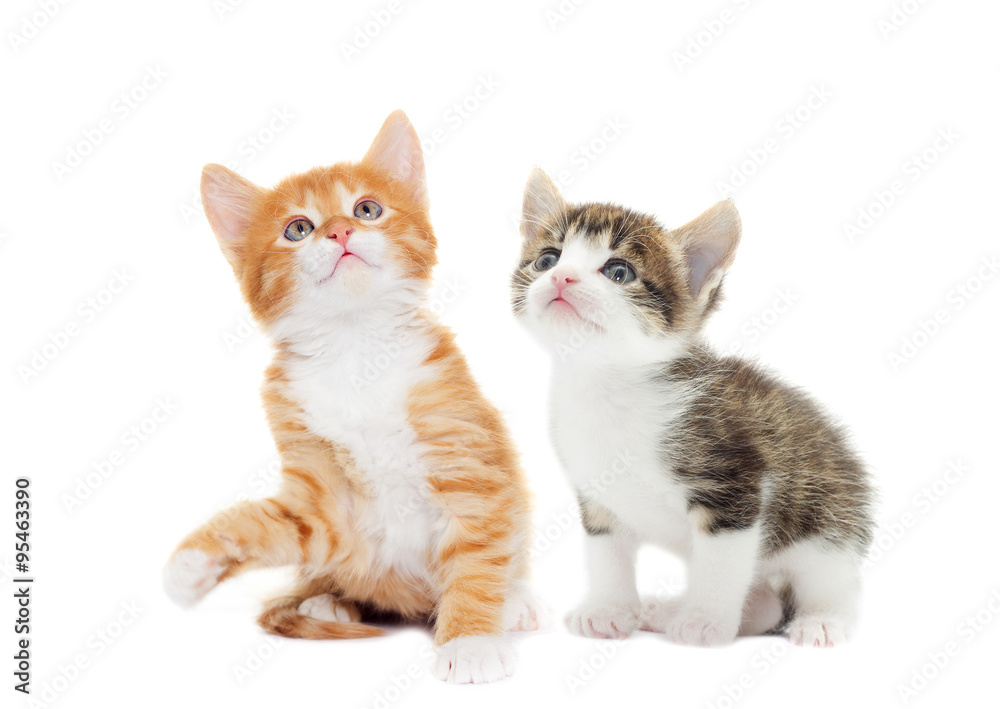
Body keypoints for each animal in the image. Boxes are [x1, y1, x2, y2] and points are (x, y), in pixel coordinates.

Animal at [162, 112, 548, 684]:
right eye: (298, 229)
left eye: (367, 209)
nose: (341, 231)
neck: (356, 352)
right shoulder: (323, 501)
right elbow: (268, 522)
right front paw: (195, 562)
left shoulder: (469, 466)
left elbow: (478, 556)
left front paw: (472, 639)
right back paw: (327, 600)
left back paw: (514, 603)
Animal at [512, 166, 872, 648]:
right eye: (547, 260)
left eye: (619, 271)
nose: (561, 278)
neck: (609, 387)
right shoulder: (597, 495)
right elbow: (607, 552)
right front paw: (608, 609)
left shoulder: (733, 485)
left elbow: (720, 563)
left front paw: (704, 621)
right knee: (766, 603)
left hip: (828, 524)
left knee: (831, 583)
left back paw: (824, 620)